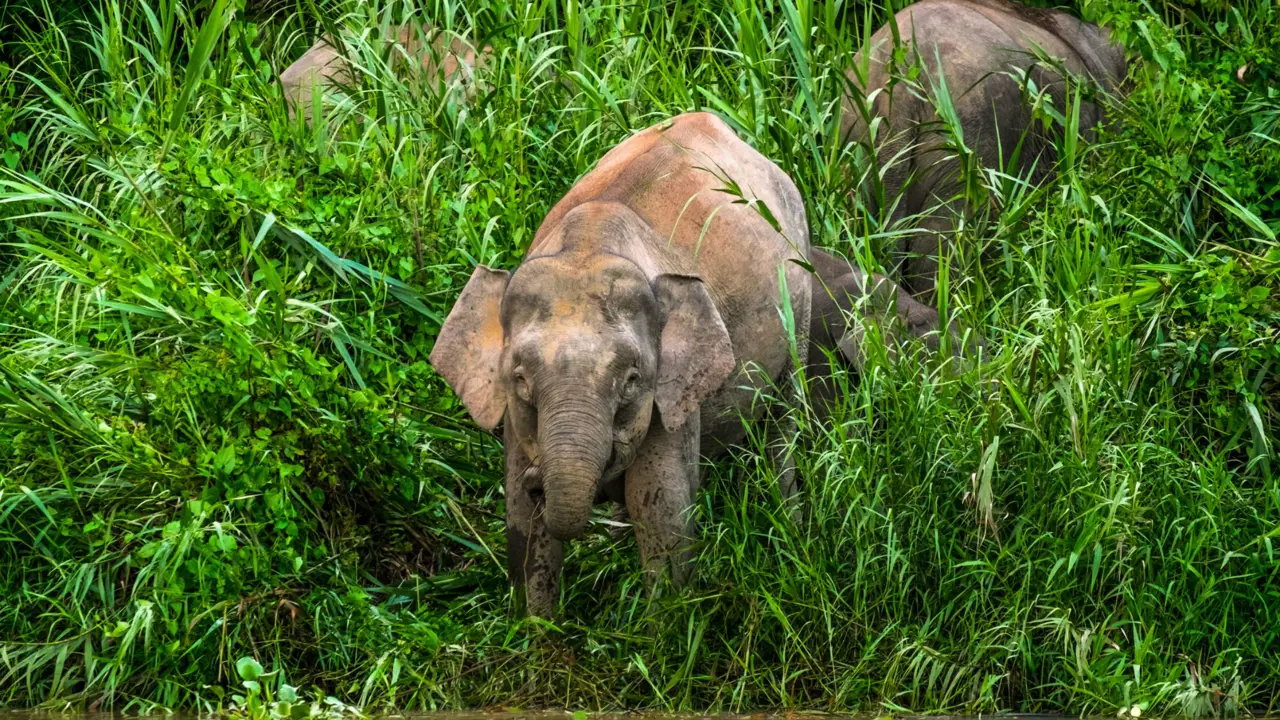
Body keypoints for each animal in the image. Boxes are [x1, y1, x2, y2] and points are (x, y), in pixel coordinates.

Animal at [430, 112, 808, 617]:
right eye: (521, 380)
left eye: (631, 380)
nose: (537, 479)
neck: (587, 248)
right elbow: (522, 523)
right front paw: (539, 630)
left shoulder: (671, 395)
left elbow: (662, 508)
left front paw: (661, 628)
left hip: (801, 297)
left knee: (784, 421)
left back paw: (792, 529)